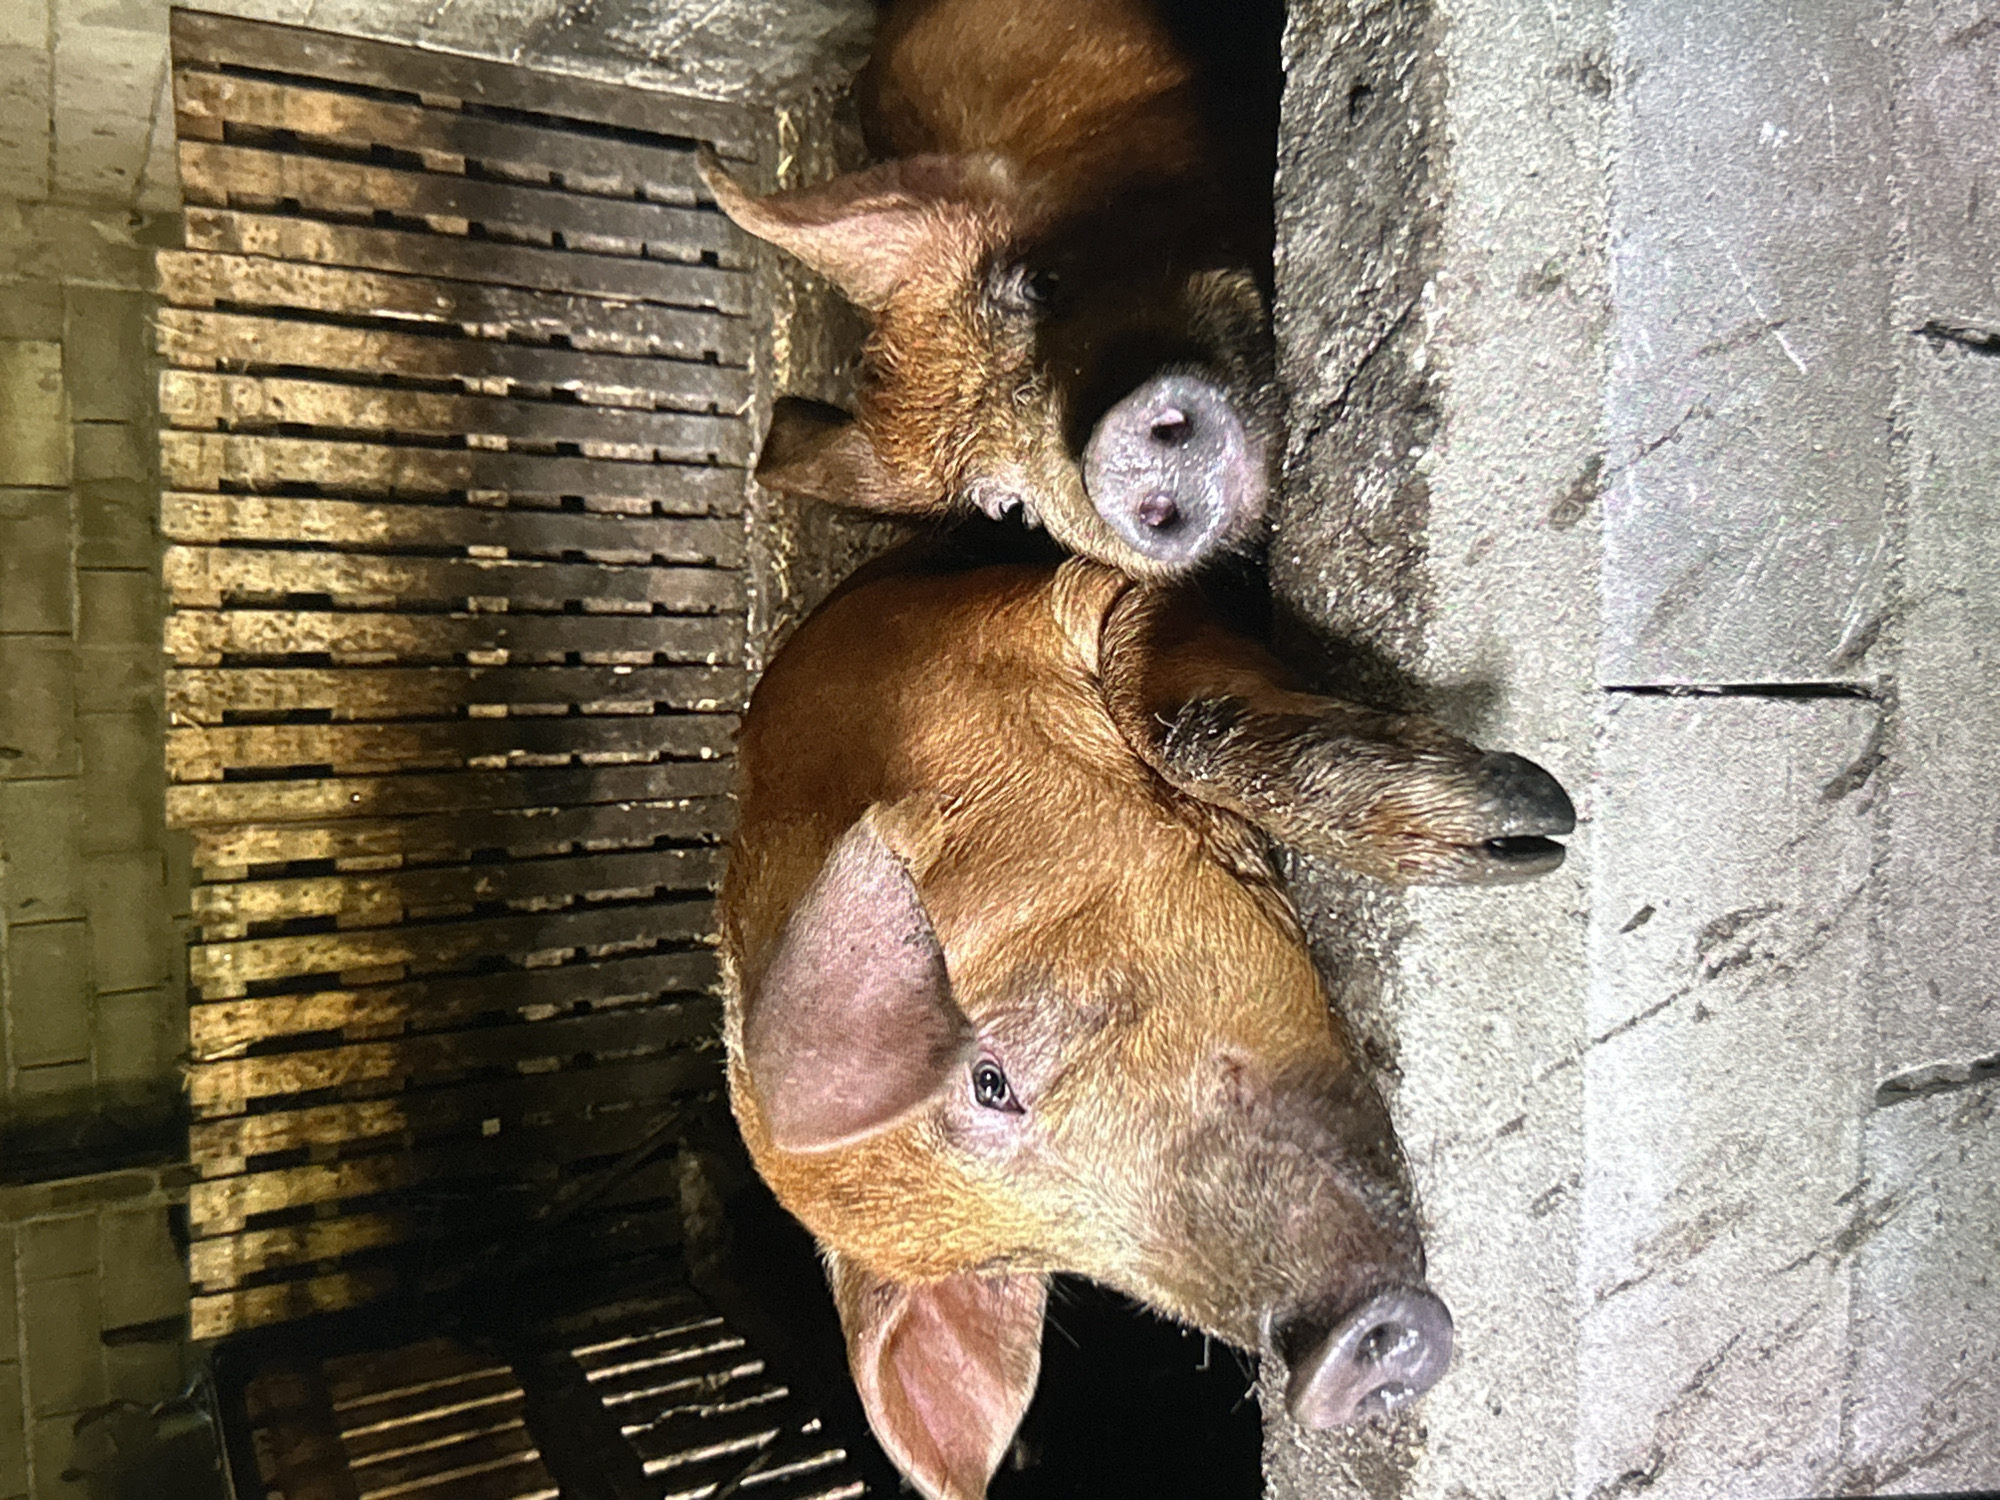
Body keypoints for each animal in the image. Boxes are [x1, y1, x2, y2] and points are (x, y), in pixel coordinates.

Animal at [719, 546, 1576, 1499]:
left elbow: (1177, 717)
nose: (1329, 1370)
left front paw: (1527, 833)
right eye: (1017, 1262)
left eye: (991, 1081)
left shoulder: (1080, 591)